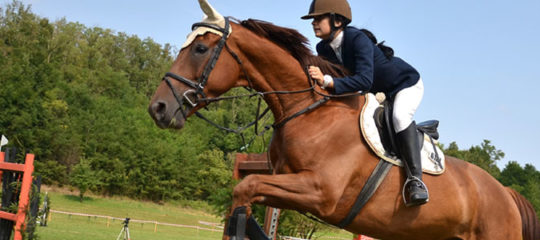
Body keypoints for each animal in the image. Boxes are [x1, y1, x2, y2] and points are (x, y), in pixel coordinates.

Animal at [148, 2, 540, 240]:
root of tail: (506, 193)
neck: (308, 111)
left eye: (200, 49)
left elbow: (245, 188)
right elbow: (246, 192)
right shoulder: (289, 185)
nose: (158, 109)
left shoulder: (319, 191)